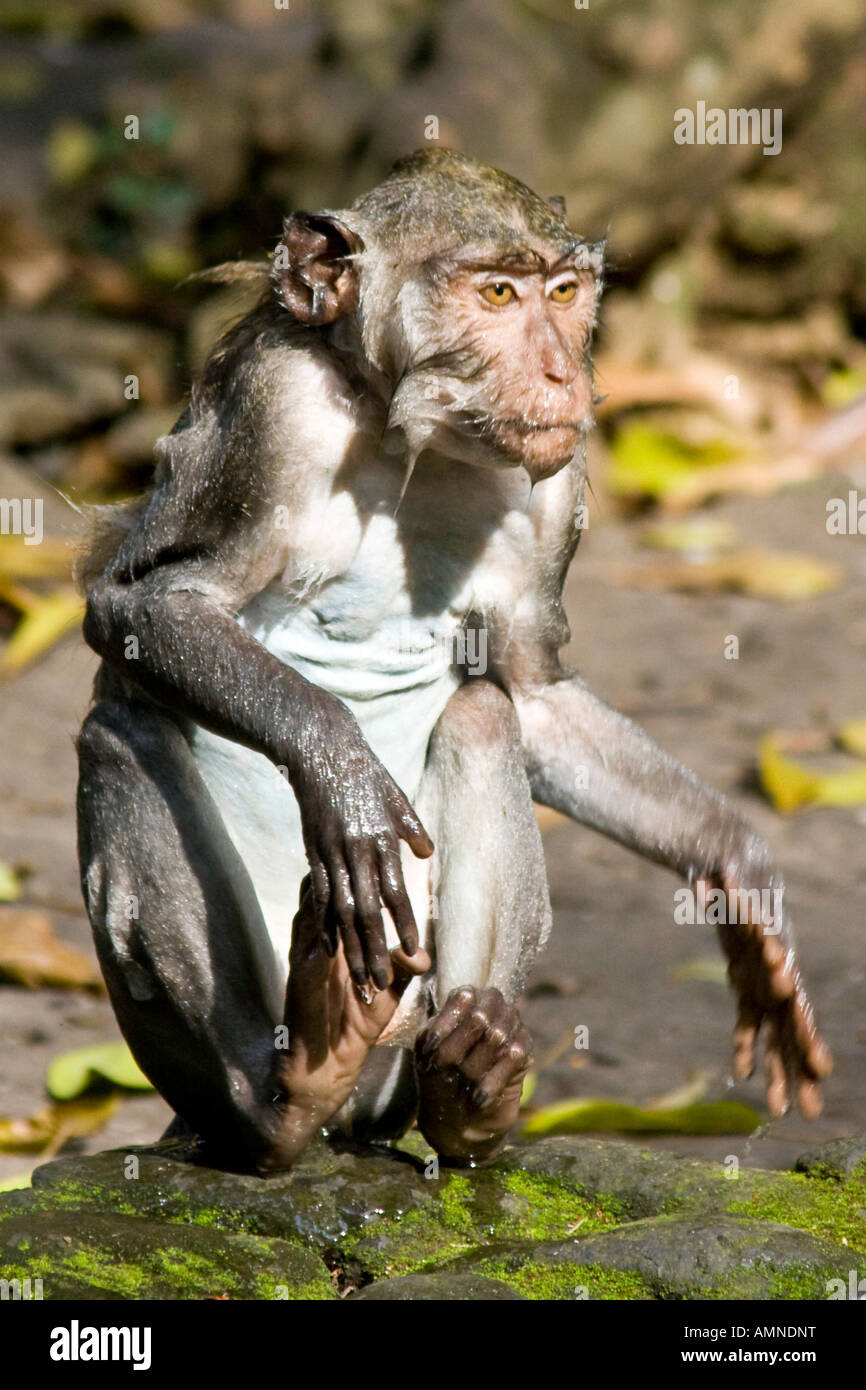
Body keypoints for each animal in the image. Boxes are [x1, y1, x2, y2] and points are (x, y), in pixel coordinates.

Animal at [76, 148, 831, 1173]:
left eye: (563, 292)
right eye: (498, 292)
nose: (562, 370)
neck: (400, 430)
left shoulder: (559, 483)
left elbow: (532, 691)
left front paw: (735, 871)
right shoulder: (271, 406)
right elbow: (142, 605)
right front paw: (342, 772)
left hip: (405, 1037)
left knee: (481, 717)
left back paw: (470, 1086)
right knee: (120, 732)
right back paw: (284, 1092)